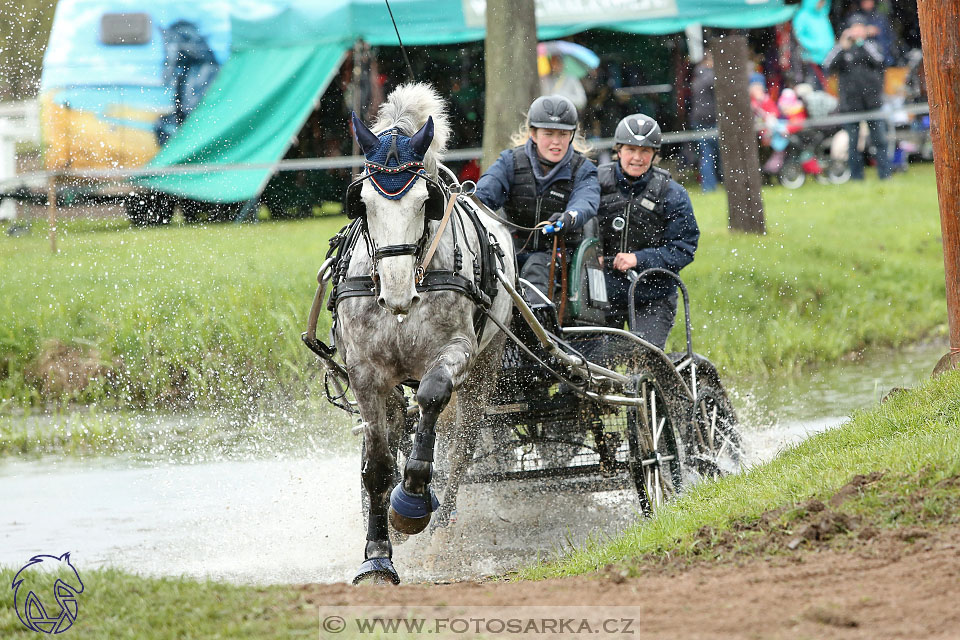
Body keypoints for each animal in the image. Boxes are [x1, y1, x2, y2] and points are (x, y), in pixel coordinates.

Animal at [338, 85, 516, 584]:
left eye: (425, 201)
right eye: (363, 203)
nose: (398, 292)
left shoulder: (457, 351)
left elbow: (433, 397)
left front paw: (413, 499)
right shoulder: (365, 372)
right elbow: (377, 466)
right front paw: (377, 555)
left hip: (484, 371)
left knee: (460, 449)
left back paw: (439, 525)